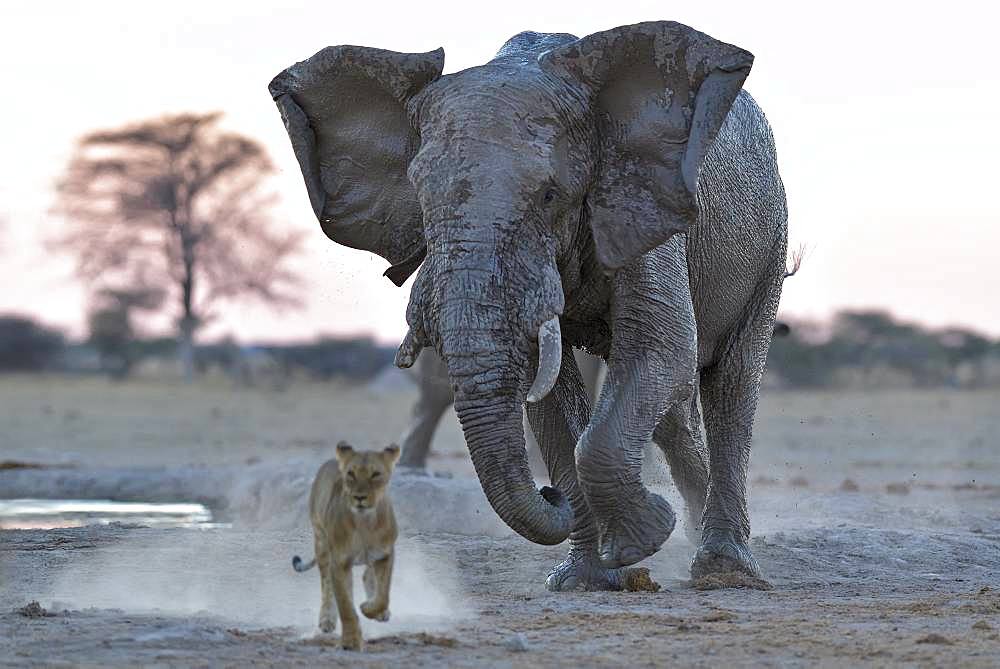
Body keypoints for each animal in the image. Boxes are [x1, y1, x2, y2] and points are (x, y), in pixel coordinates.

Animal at [272, 18, 788, 588]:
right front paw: (585, 579)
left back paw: (724, 569)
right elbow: (551, 400)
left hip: (770, 241)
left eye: (549, 195)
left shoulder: (640, 202)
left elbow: (661, 349)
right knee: (673, 411)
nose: (548, 493)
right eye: (420, 198)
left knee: (731, 384)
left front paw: (644, 538)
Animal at [292, 440, 400, 648]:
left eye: (376, 474)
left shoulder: (385, 555)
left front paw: (369, 608)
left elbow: (383, 595)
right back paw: (326, 620)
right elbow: (346, 605)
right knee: (326, 585)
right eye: (351, 474)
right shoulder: (340, 563)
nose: (359, 497)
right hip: (321, 541)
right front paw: (350, 641)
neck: (365, 523)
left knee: (367, 576)